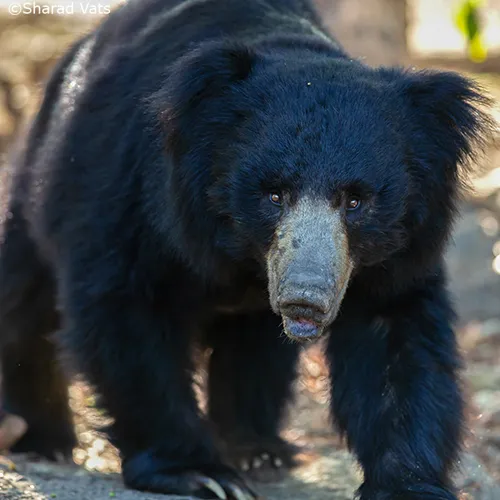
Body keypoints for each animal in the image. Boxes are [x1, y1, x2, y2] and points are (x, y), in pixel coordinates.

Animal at [0, 0, 492, 500]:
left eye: (355, 201)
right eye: (274, 194)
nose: (306, 299)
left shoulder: (396, 252)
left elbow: (393, 342)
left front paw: (408, 485)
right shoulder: (133, 195)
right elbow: (126, 312)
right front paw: (200, 473)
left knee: (256, 351)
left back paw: (258, 449)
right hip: (40, 177)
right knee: (27, 299)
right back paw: (42, 438)